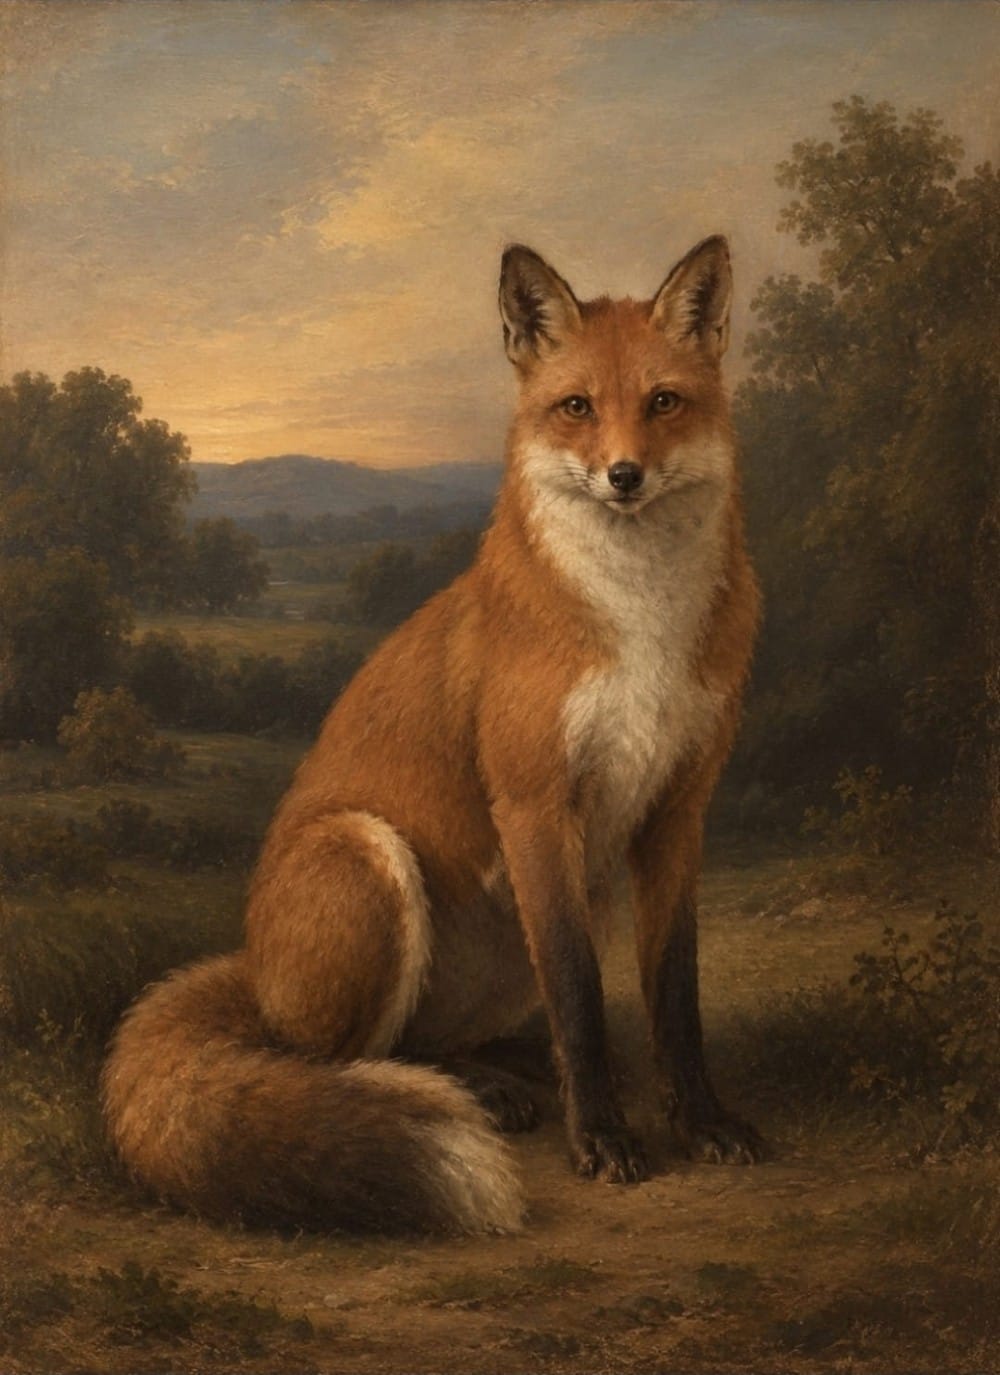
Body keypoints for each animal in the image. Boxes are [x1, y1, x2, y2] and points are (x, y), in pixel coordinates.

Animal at [103, 236, 762, 1235]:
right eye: (577, 408)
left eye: (663, 402)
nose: (624, 475)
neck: (639, 620)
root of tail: (255, 977)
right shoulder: (533, 806)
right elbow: (581, 995)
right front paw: (603, 1138)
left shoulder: (678, 810)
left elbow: (671, 994)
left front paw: (700, 1118)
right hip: (366, 857)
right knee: (341, 1060)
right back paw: (458, 1093)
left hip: (562, 904)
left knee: (441, 1037)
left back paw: (505, 1071)